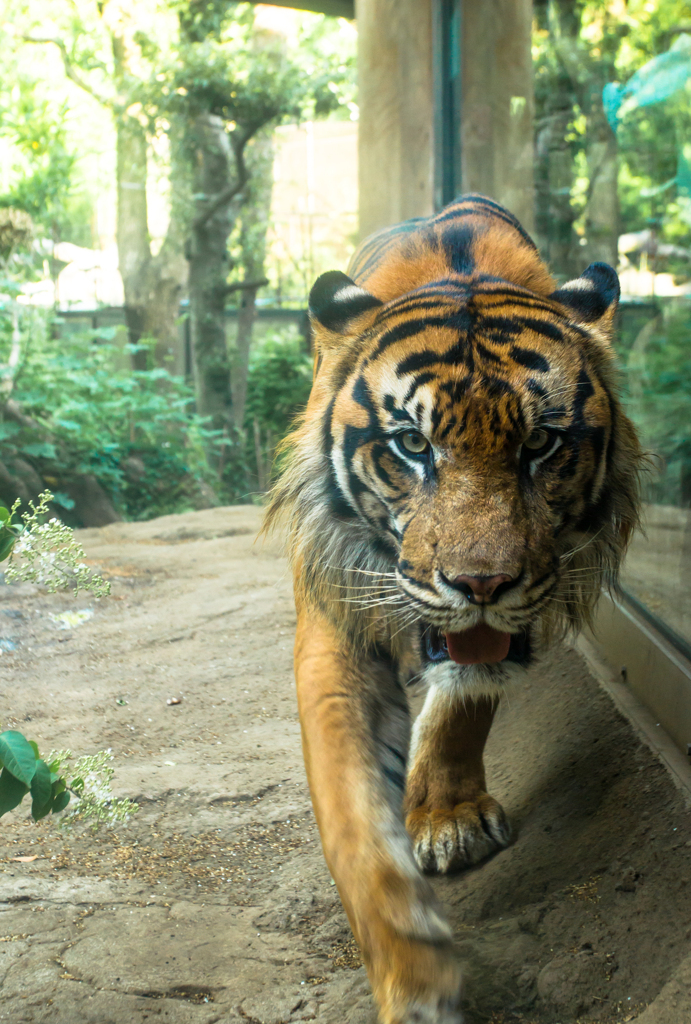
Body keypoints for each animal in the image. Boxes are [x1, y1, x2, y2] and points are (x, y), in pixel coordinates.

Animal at [264, 193, 642, 1024]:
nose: (479, 585)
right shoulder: (338, 612)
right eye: (411, 445)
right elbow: (352, 816)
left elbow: (462, 707)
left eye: (541, 444)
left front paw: (447, 818)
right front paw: (413, 979)